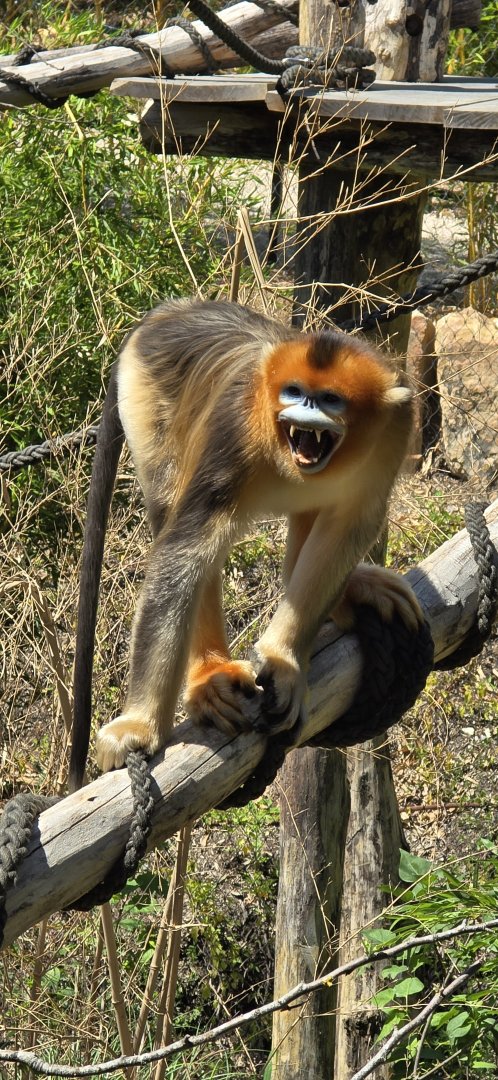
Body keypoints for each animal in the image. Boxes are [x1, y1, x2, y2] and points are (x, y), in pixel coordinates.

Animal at [69, 297, 423, 792]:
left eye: (330, 399)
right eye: (294, 392)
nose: (303, 413)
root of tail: (164, 312)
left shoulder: (395, 426)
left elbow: (349, 525)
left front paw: (285, 661)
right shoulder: (238, 424)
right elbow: (185, 549)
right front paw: (139, 725)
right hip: (142, 394)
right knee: (174, 511)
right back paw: (208, 678)